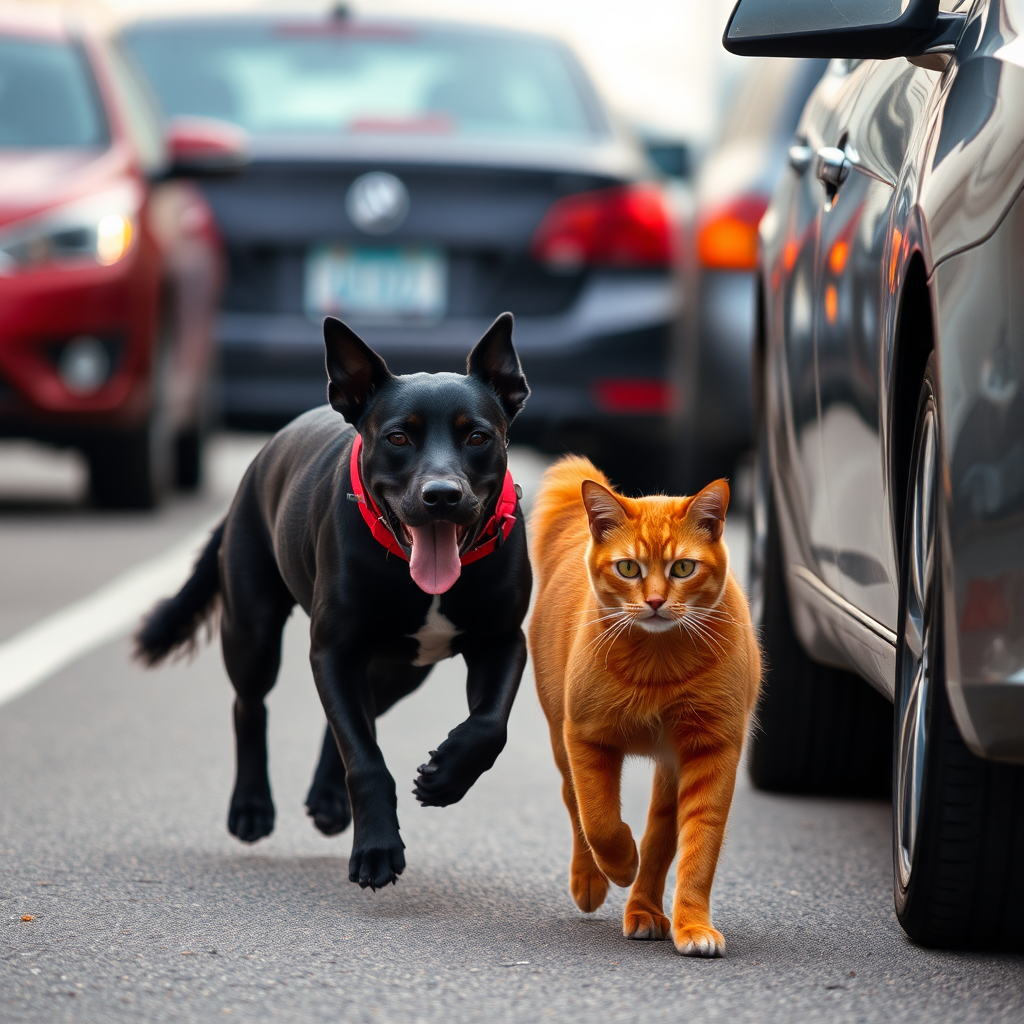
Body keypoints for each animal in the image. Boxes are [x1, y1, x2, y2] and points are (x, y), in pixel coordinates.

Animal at [136, 315, 532, 892]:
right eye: (397, 437)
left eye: (478, 436)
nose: (442, 495)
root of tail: (261, 458)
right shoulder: (332, 650)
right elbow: (364, 759)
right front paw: (376, 849)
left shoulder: (502, 641)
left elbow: (489, 725)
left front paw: (446, 775)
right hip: (253, 631)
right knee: (251, 706)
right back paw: (251, 807)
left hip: (400, 672)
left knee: (351, 715)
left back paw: (327, 799)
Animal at [528, 456, 761, 950]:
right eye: (629, 568)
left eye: (683, 568)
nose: (654, 601)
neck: (659, 664)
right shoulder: (586, 738)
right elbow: (598, 820)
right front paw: (618, 865)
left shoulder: (712, 752)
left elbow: (699, 847)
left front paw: (693, 924)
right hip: (560, 738)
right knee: (573, 802)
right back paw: (591, 878)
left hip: (672, 768)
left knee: (660, 838)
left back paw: (645, 910)